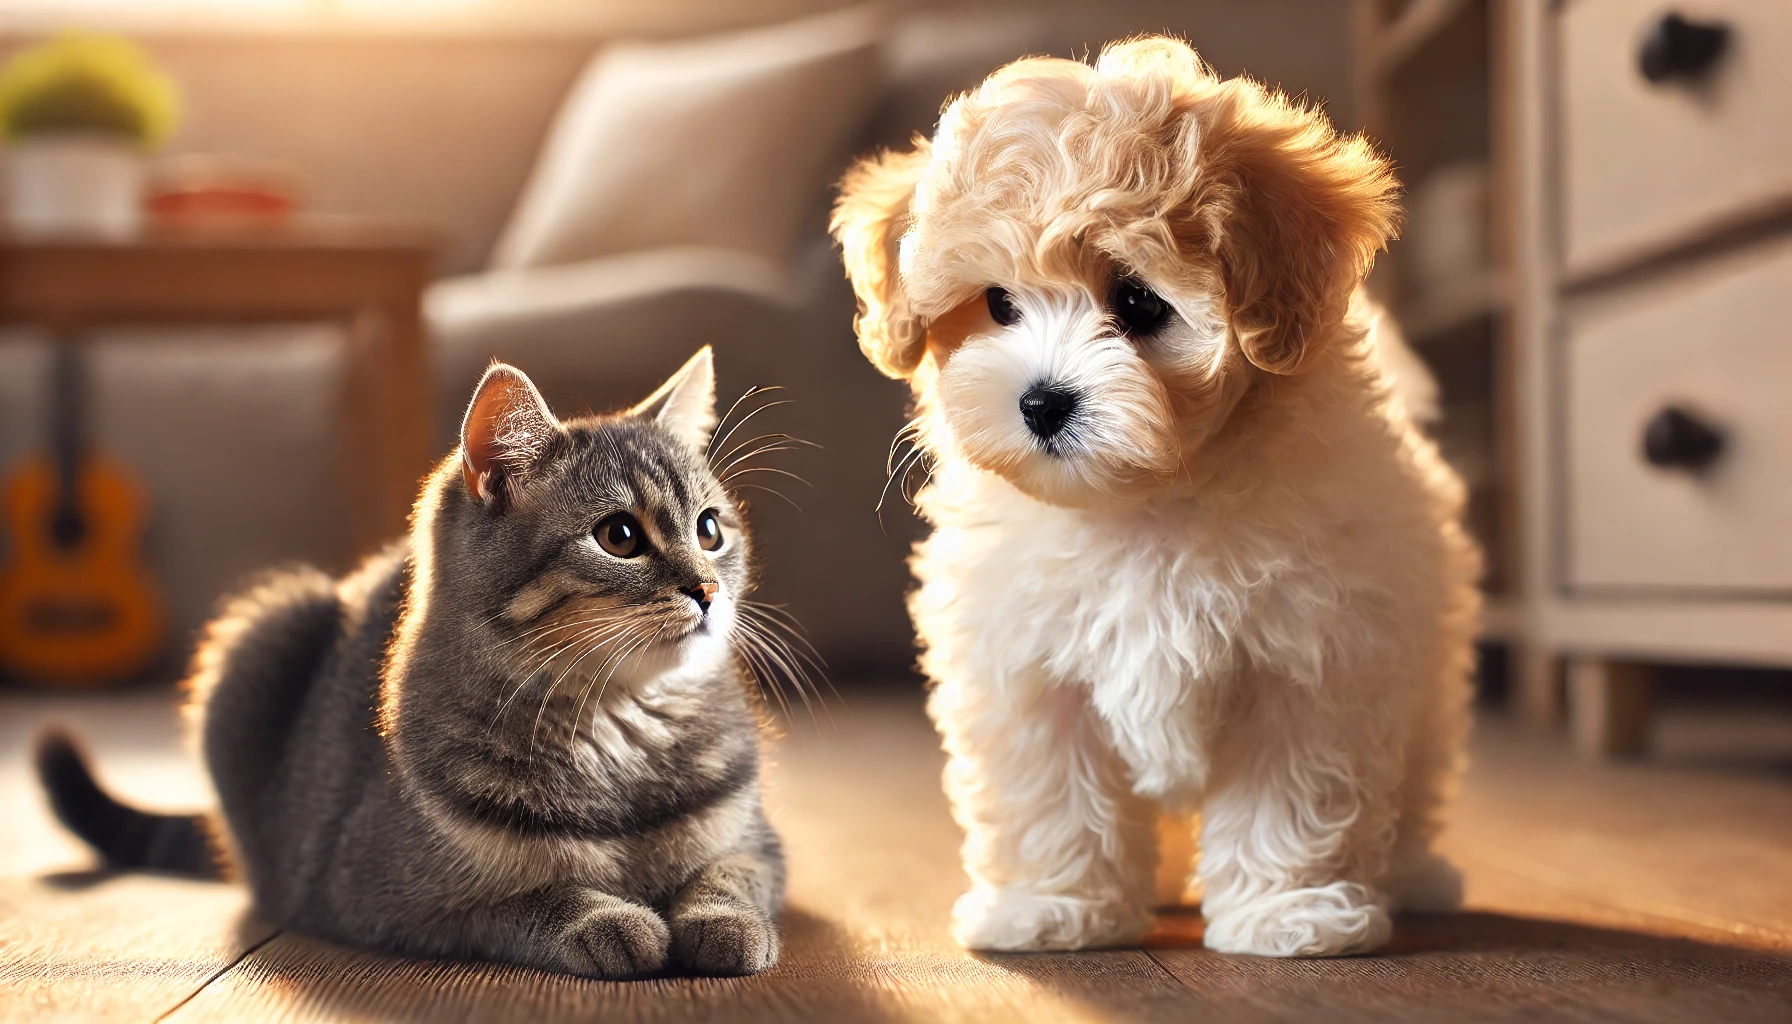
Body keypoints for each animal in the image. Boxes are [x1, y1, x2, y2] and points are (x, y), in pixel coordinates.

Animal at [33, 347, 784, 982]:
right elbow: (531, 895)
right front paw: (608, 919)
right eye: (619, 535)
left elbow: (731, 874)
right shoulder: (385, 897)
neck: (618, 729)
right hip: (262, 632)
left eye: (710, 529)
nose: (707, 591)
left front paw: (726, 923)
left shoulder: (761, 843)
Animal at [831, 34, 1476, 961]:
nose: (1042, 403)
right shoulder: (1028, 670)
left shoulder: (1312, 658)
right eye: (997, 303)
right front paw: (1051, 906)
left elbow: (1293, 791)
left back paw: (1416, 876)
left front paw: (1290, 913)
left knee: (1419, 776)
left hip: (1426, 665)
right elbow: (1049, 793)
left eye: (1137, 301)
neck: (1146, 503)